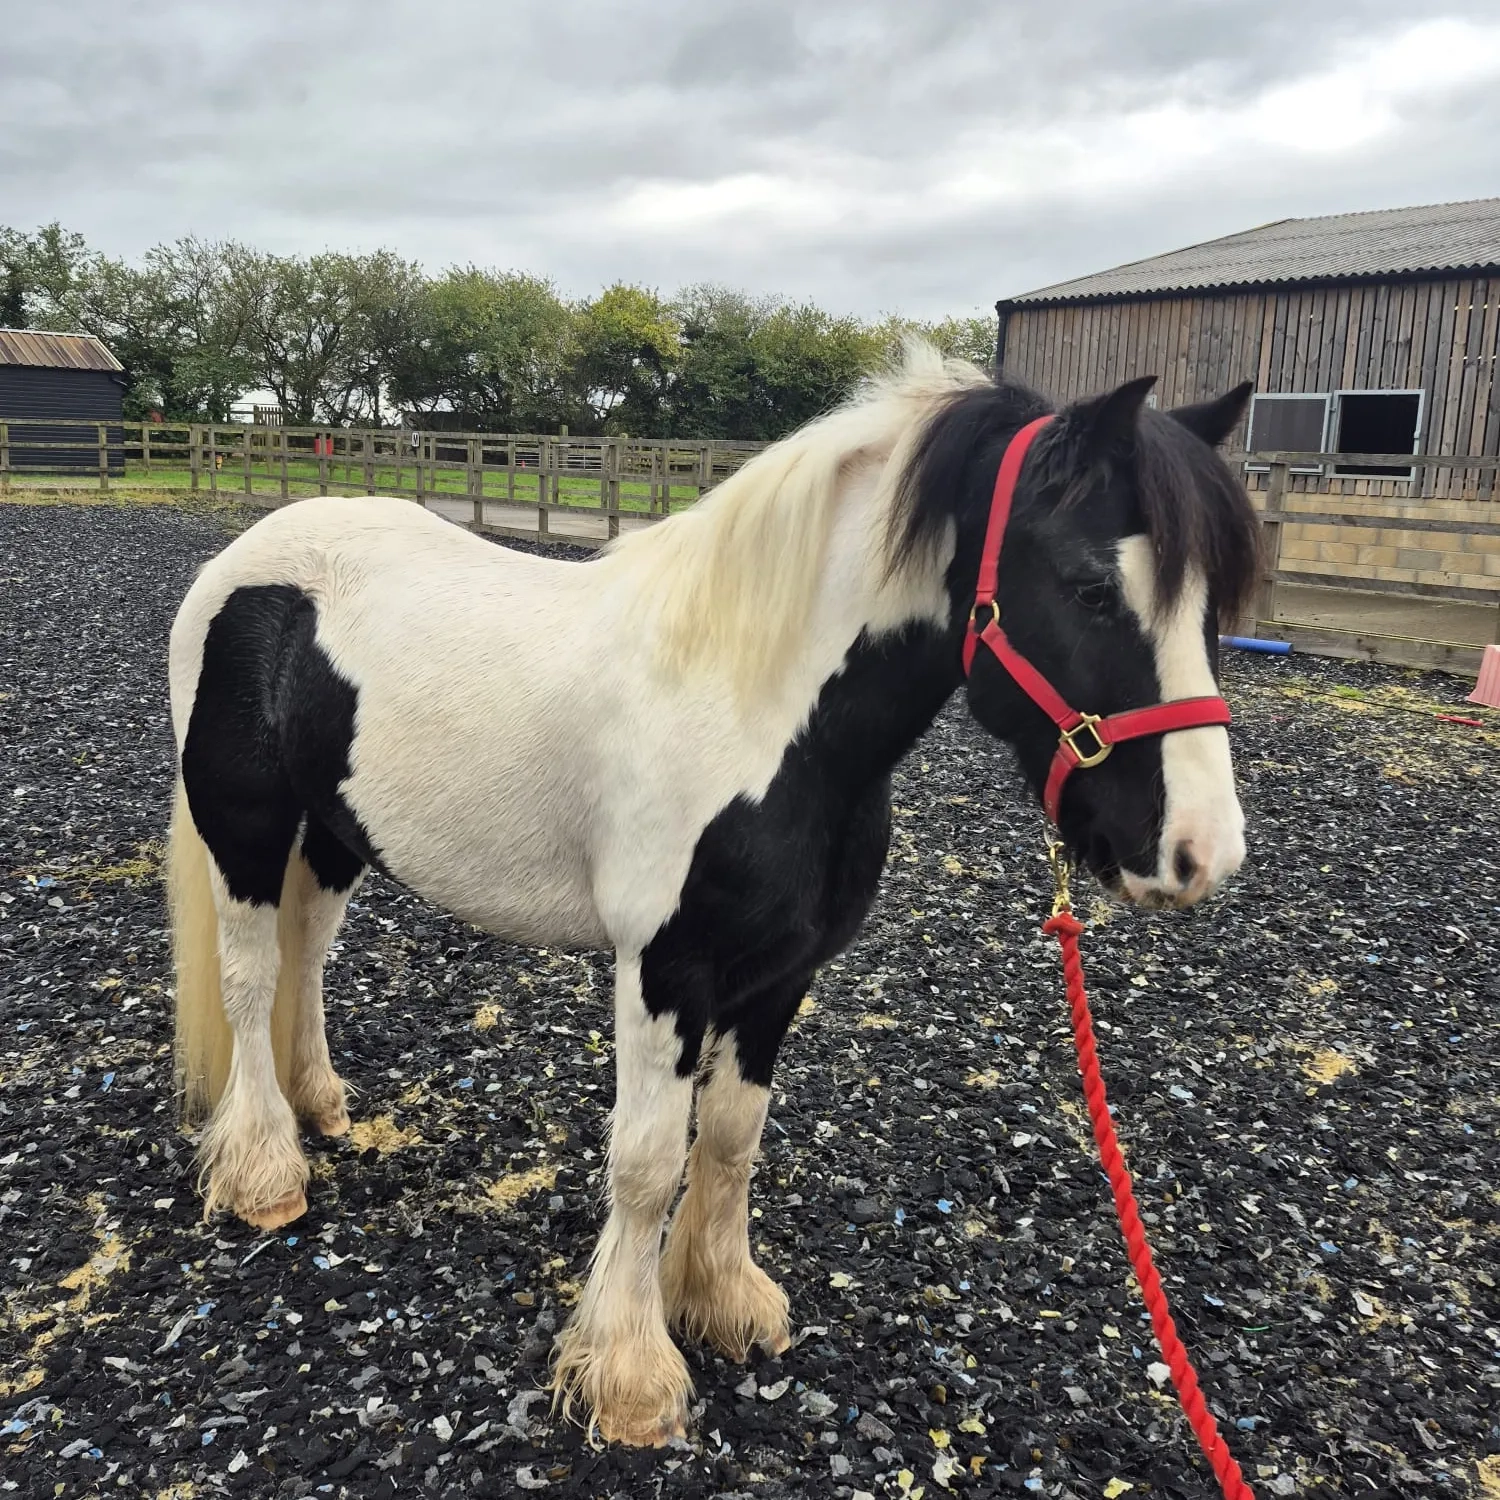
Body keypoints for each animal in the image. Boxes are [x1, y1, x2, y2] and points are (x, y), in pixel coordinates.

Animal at [164, 344, 1260, 1446]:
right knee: (251, 978)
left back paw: (319, 1104)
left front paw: (725, 1301)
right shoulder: (666, 972)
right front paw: (631, 1377)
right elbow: (648, 1161)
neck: (757, 713)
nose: (1201, 852)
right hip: (245, 828)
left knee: (307, 952)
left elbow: (731, 1140)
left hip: (337, 832)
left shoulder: (778, 976)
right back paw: (266, 1173)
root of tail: (244, 560)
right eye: (1089, 588)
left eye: (1215, 604)